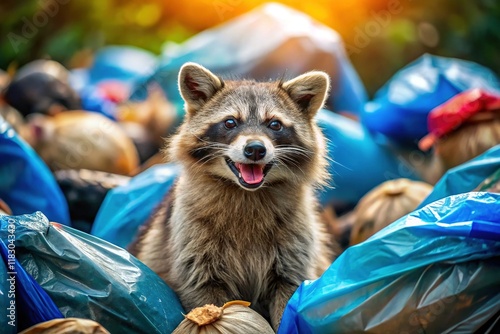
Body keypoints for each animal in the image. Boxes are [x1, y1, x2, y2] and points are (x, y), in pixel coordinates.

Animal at [133, 62, 334, 332]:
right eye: (230, 122)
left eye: (275, 124)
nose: (255, 149)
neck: (247, 193)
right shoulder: (193, 249)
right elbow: (204, 294)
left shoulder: (294, 253)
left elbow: (289, 298)